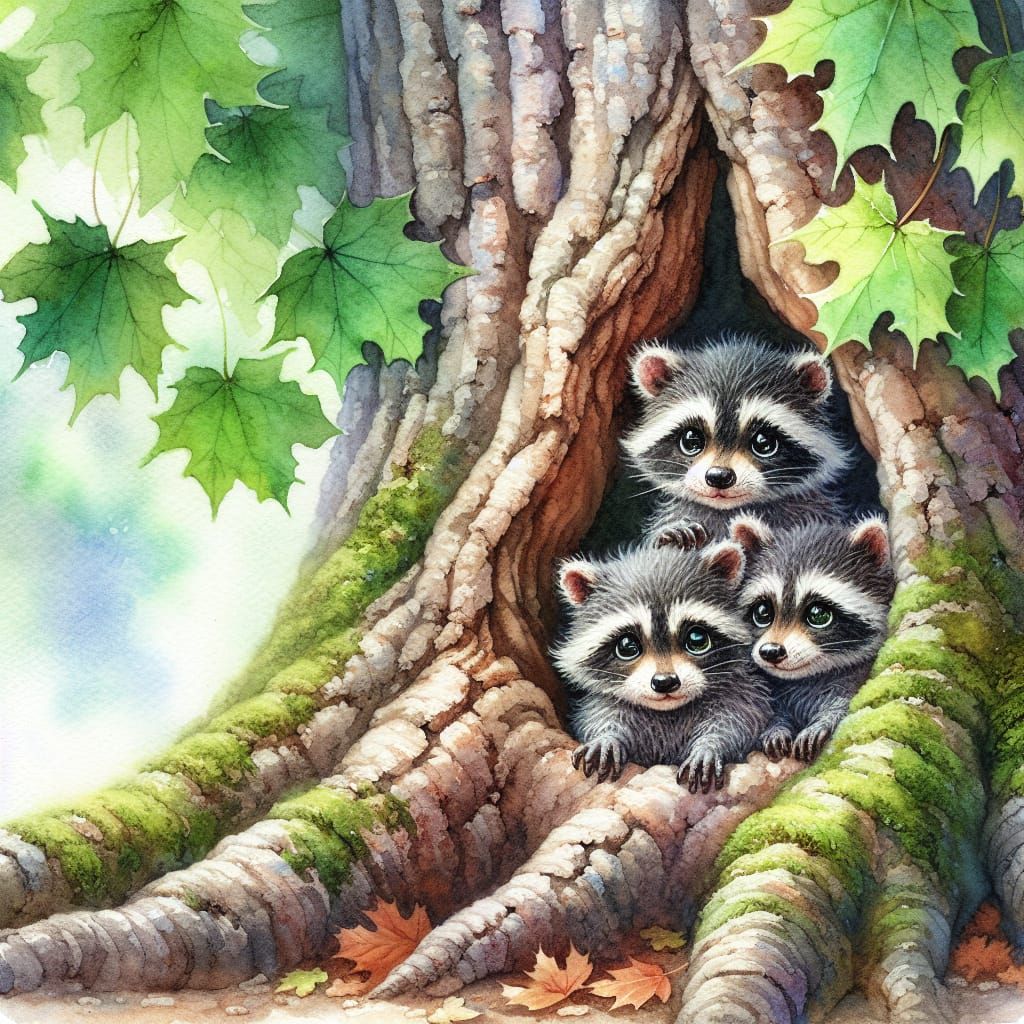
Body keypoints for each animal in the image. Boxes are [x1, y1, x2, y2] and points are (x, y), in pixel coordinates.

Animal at [552, 541, 771, 792]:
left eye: (697, 639)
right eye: (627, 646)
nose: (665, 682)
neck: (668, 712)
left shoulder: (742, 692)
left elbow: (739, 720)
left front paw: (710, 745)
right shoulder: (600, 699)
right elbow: (598, 715)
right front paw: (606, 737)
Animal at [733, 514, 895, 762]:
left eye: (819, 615)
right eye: (762, 612)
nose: (771, 651)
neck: (807, 677)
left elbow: (843, 703)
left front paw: (824, 721)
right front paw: (775, 728)